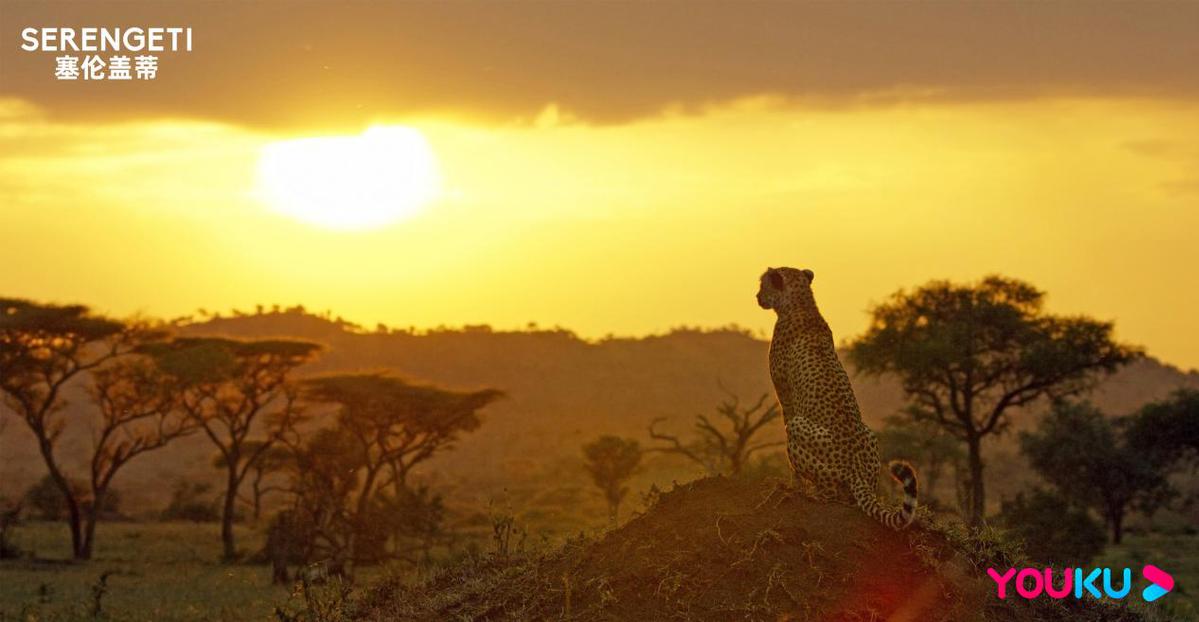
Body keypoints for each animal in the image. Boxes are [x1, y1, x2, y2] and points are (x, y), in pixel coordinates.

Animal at [757, 264, 916, 527]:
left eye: (763, 284)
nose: (757, 296)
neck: (802, 304)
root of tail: (857, 470)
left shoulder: (785, 395)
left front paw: (793, 484)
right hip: (870, 434)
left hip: (798, 426)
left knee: (830, 493)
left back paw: (813, 494)